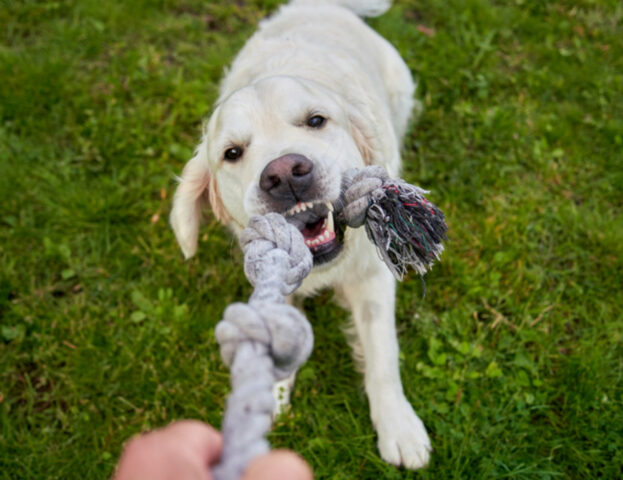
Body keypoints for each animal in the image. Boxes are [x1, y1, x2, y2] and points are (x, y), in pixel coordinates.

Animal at [171, 0, 434, 468]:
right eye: (232, 153)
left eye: (316, 120)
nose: (284, 174)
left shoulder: (372, 277)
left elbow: (383, 353)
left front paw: (399, 426)